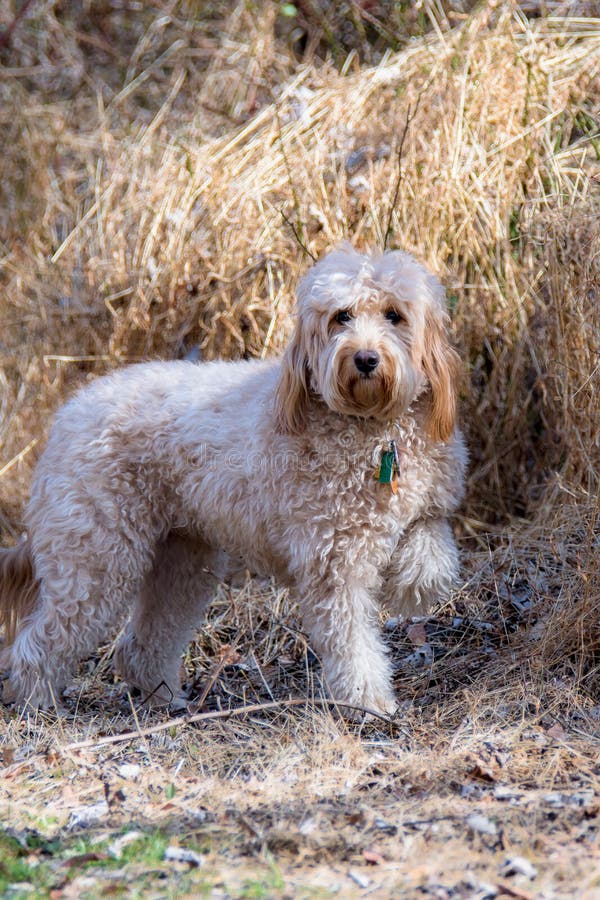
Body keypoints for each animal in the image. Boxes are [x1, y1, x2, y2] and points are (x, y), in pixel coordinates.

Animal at [0, 243, 466, 712]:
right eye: (342, 316)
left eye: (394, 315)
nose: (366, 359)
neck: (373, 430)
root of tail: (65, 418)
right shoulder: (332, 563)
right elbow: (352, 642)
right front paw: (367, 700)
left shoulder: (427, 509)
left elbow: (432, 557)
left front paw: (410, 589)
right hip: (96, 558)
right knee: (39, 643)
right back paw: (38, 702)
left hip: (181, 560)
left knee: (141, 645)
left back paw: (166, 698)